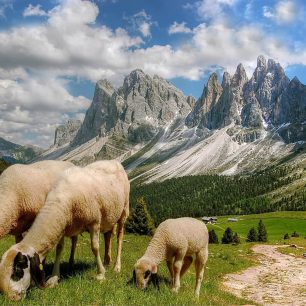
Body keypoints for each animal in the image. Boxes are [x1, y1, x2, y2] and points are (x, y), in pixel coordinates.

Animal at [0, 160, 129, 302]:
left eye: (18, 269)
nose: (12, 297)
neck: (62, 199)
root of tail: (113, 161)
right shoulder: (62, 224)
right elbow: (59, 249)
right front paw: (54, 278)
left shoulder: (94, 221)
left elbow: (94, 247)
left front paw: (100, 274)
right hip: (108, 216)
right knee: (107, 236)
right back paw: (105, 261)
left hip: (124, 211)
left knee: (119, 238)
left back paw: (116, 267)